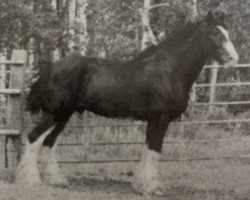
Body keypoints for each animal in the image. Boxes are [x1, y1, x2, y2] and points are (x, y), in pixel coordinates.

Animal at [16, 8, 238, 196]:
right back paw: (30, 181)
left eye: (226, 32)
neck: (169, 70)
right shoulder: (160, 119)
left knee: (48, 141)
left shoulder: (153, 120)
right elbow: (154, 150)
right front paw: (152, 188)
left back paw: (56, 180)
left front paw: (140, 185)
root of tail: (51, 67)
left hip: (64, 115)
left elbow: (147, 150)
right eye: (214, 32)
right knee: (34, 138)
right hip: (54, 113)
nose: (234, 59)